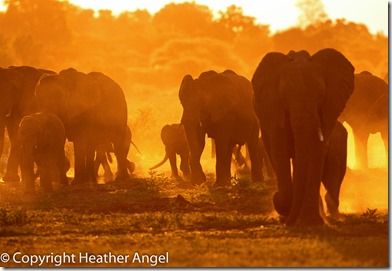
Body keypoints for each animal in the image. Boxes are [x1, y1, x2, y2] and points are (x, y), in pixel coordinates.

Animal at [251, 48, 356, 225]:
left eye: (320, 95)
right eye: (284, 95)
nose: (290, 221)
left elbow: (318, 150)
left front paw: (311, 222)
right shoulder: (274, 109)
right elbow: (280, 152)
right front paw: (286, 210)